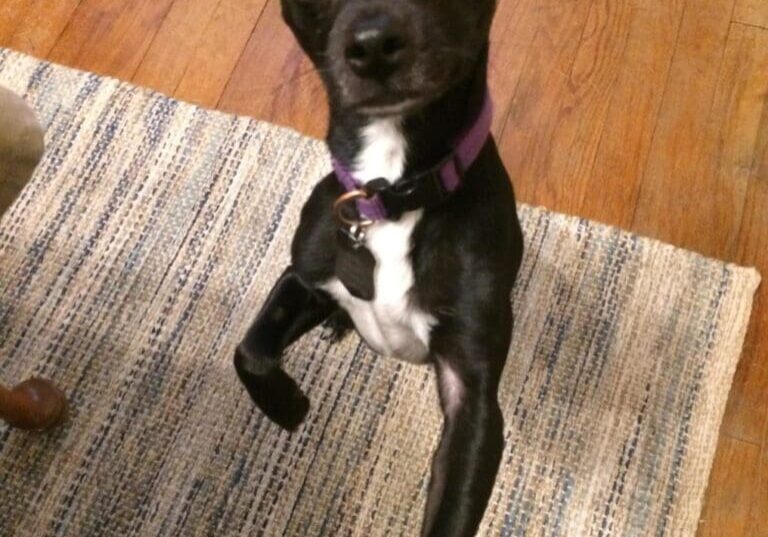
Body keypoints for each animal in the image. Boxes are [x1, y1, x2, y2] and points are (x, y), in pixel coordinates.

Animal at [234, 2, 520, 532]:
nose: (373, 44)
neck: (390, 196)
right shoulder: (304, 275)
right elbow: (250, 351)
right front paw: (289, 406)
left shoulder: (471, 399)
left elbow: (452, 512)